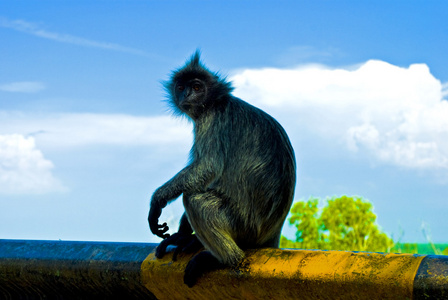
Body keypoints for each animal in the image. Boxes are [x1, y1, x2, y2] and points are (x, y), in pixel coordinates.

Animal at [149, 51, 296, 286]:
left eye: (197, 87)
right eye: (181, 87)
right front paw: (183, 236)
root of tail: (271, 234)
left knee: (195, 199)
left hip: (243, 226)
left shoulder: (212, 120)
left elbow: (205, 169)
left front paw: (157, 202)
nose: (186, 95)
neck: (216, 102)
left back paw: (225, 259)